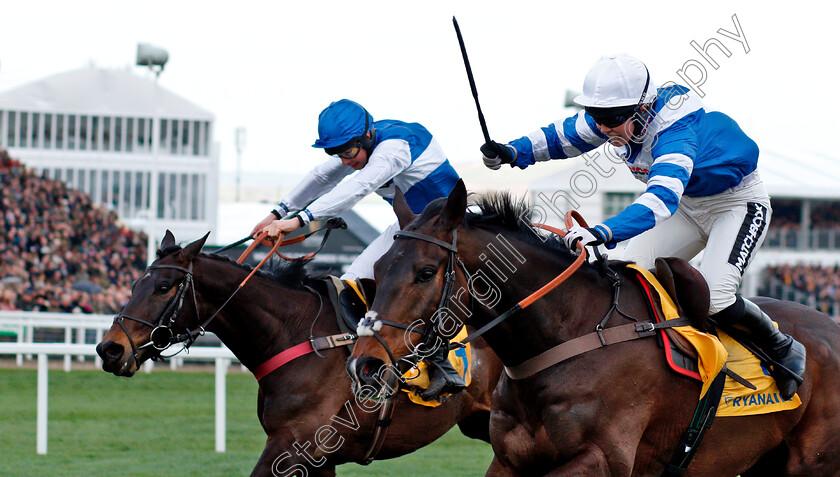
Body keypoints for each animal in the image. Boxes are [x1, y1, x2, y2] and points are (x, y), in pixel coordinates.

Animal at [95, 229, 502, 474]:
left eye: (164, 287)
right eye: (135, 282)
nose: (109, 349)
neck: (298, 336)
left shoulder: (293, 445)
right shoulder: (319, 458)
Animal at [346, 180, 840, 474]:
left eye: (426, 272)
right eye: (381, 268)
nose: (364, 365)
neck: (571, 335)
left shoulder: (601, 459)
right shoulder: (509, 460)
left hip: (813, 463)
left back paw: (789, 354)